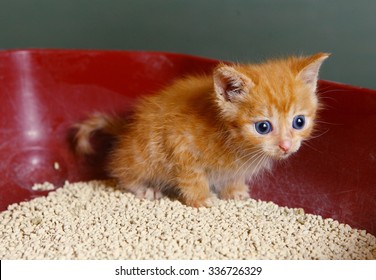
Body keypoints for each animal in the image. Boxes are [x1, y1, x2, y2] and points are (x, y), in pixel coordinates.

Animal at [73, 52, 328, 207]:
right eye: (263, 127)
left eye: (299, 122)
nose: (286, 146)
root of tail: (127, 130)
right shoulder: (179, 144)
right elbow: (192, 177)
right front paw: (202, 199)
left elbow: (233, 177)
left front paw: (234, 191)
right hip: (142, 155)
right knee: (121, 170)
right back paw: (145, 188)